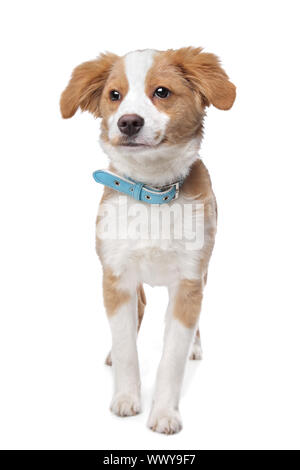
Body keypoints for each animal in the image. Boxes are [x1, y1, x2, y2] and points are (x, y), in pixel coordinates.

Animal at [60, 47, 234, 434]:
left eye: (162, 92)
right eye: (114, 95)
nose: (128, 122)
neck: (152, 194)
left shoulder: (189, 282)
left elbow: (173, 358)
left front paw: (165, 413)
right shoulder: (116, 277)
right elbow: (127, 346)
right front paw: (126, 398)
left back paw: (195, 346)